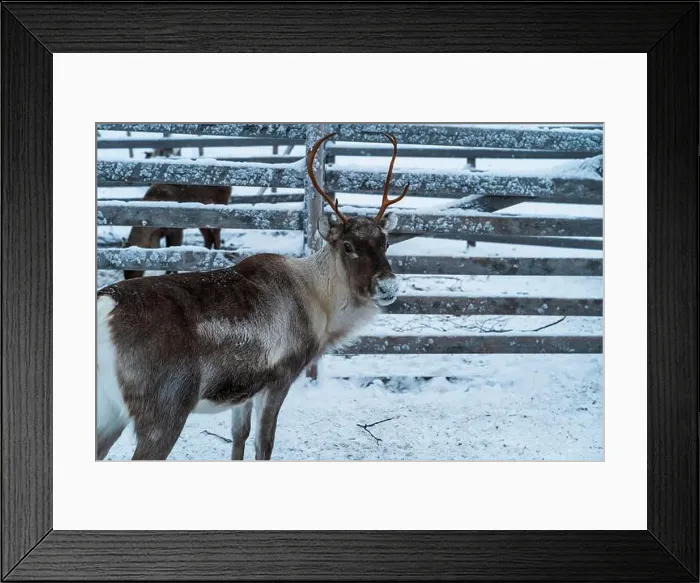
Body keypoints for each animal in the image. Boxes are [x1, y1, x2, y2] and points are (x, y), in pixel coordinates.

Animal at [96, 132, 409, 461]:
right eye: (348, 246)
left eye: (386, 243)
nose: (388, 286)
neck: (319, 307)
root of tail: (104, 307)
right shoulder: (279, 378)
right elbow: (264, 444)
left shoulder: (244, 390)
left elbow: (239, 437)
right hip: (163, 408)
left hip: (108, 411)